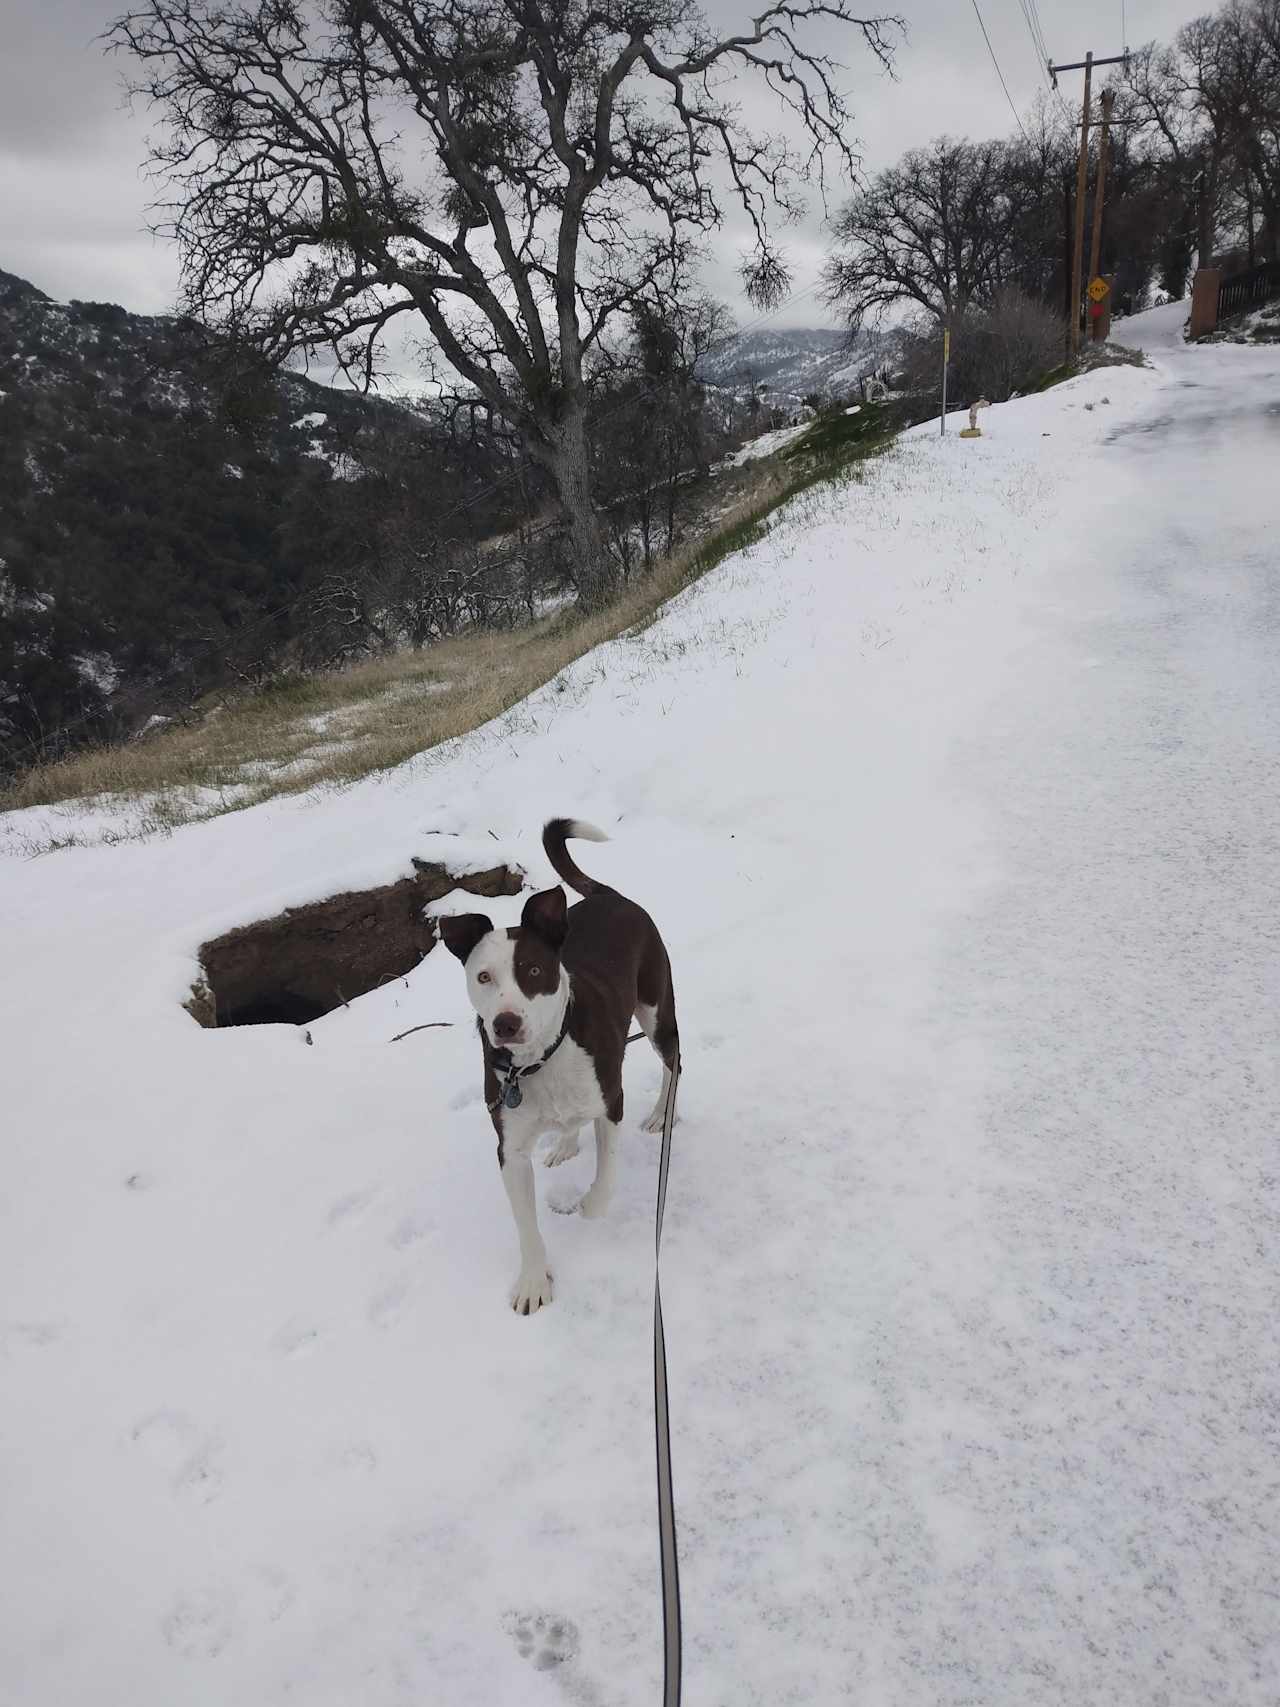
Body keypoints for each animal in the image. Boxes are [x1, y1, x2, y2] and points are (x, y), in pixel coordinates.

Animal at [440, 819, 682, 1310]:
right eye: (483, 976)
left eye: (533, 971)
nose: (506, 1023)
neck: (540, 1061)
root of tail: (610, 896)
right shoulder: (510, 1150)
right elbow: (526, 1227)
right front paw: (534, 1281)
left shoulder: (610, 1102)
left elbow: (606, 1176)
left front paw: (589, 1205)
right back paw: (565, 1143)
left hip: (656, 1012)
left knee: (674, 1062)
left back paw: (661, 1114)